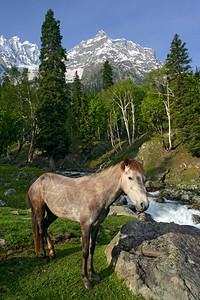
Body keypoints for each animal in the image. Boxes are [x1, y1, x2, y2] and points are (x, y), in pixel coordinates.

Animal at [27, 155, 148, 288]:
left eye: (144, 179)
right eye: (130, 177)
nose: (144, 204)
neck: (97, 194)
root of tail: (36, 182)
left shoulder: (96, 226)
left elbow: (92, 248)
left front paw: (93, 273)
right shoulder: (85, 226)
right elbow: (85, 251)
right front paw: (85, 279)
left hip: (53, 214)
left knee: (44, 226)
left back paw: (52, 252)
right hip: (39, 211)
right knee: (40, 229)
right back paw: (44, 256)